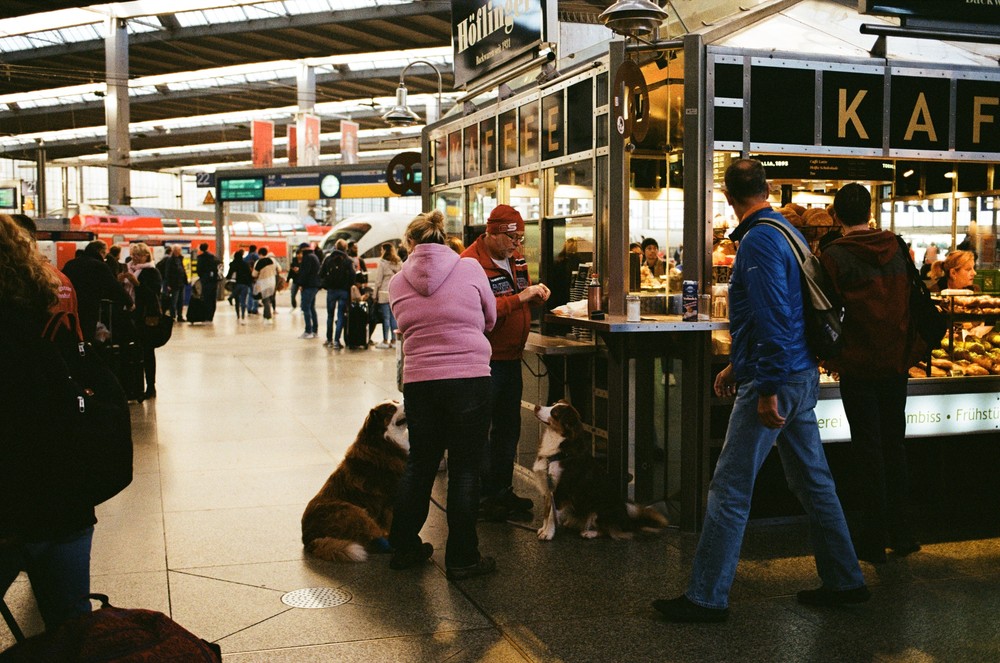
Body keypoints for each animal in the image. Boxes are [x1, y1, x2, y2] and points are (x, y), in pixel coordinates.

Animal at [298, 402, 408, 564]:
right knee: (374, 537)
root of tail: (309, 539)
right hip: (354, 511)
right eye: (391, 409)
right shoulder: (390, 501)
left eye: (395, 402)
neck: (383, 442)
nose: (404, 401)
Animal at [536, 402, 668, 544]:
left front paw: (548, 534)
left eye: (554, 413)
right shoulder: (548, 487)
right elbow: (546, 512)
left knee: (610, 531)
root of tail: (629, 522)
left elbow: (551, 515)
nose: (536, 407)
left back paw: (589, 533)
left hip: (600, 507)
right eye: (552, 405)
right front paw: (543, 529)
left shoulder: (561, 490)